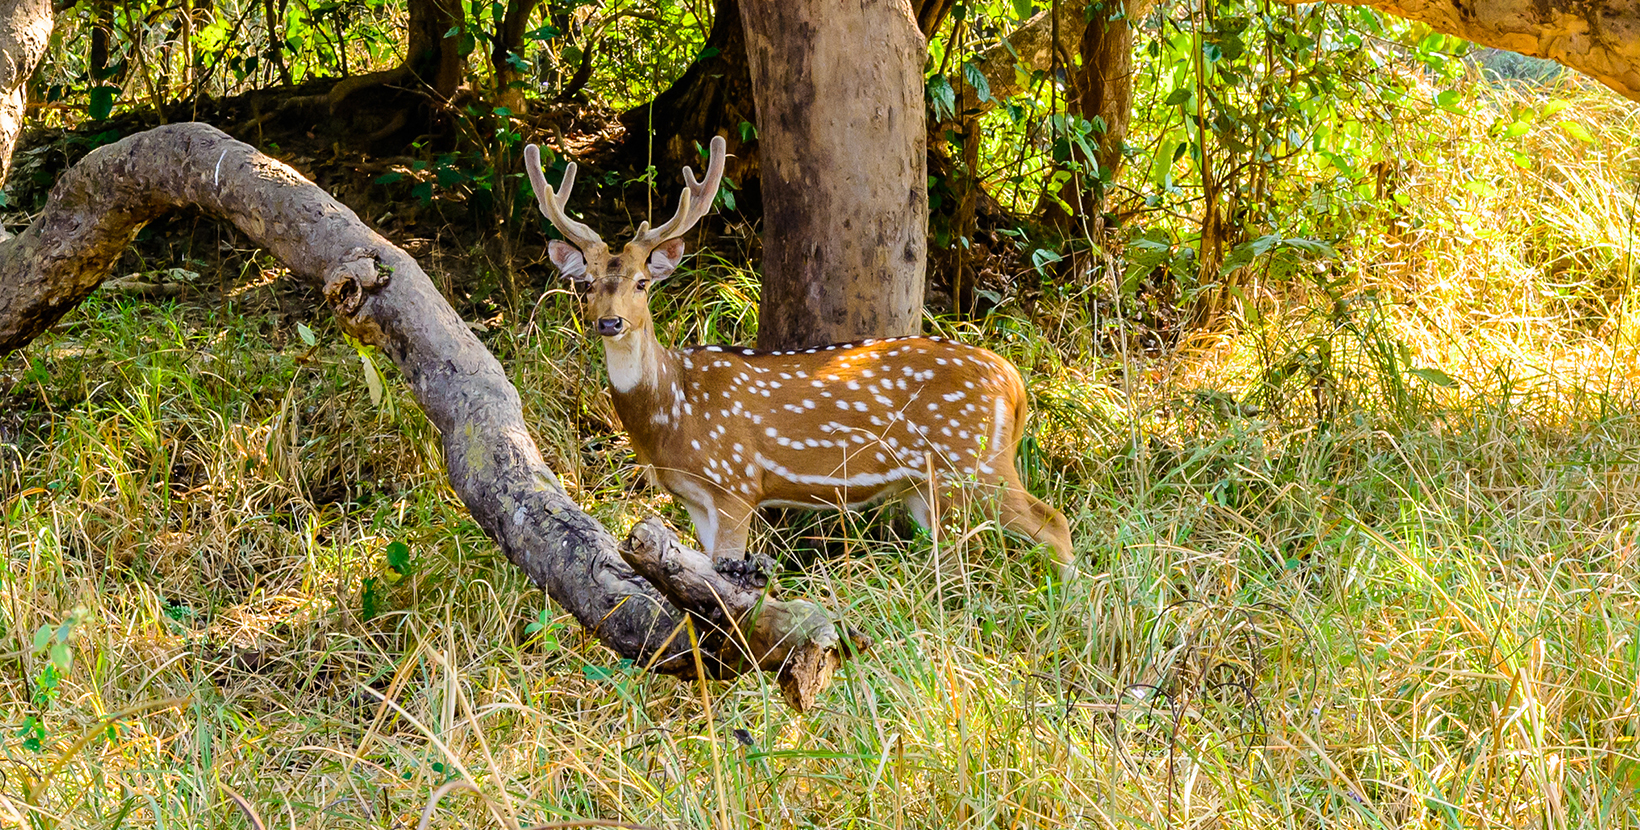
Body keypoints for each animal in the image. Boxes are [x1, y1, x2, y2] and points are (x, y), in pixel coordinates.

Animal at [524, 137, 1075, 577]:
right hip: (928, 484)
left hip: (976, 461)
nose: (610, 322)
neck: (673, 411)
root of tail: (1014, 383)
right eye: (587, 284)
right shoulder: (695, 499)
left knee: (1054, 521)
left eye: (642, 283)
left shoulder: (735, 482)